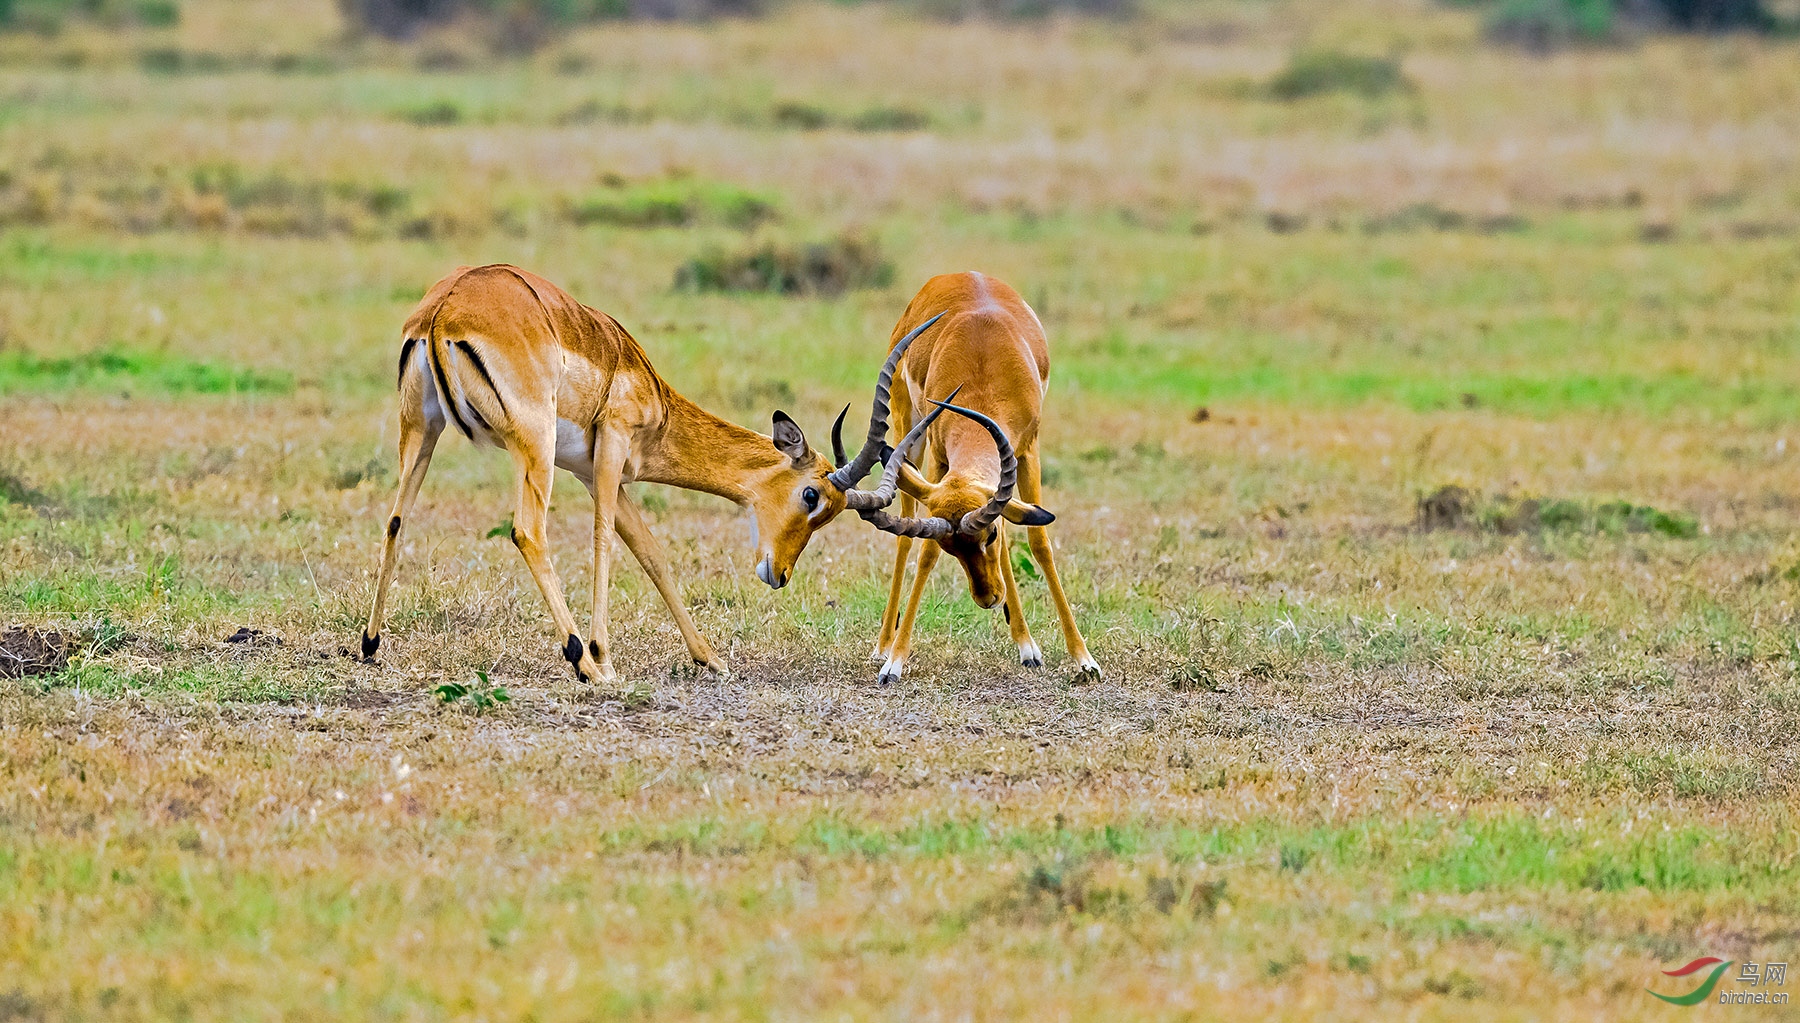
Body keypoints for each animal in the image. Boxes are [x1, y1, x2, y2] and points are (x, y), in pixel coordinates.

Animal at [358, 262, 964, 684]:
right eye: (811, 496)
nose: (780, 574)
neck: (650, 392)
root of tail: (446, 308)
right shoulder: (608, 451)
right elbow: (605, 541)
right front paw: (605, 658)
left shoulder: (592, 471)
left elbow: (651, 552)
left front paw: (711, 659)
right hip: (531, 443)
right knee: (528, 531)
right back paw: (584, 664)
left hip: (422, 429)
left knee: (394, 520)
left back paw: (368, 646)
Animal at [842, 271, 1094, 688]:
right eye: (950, 547)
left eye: (986, 536)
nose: (988, 598)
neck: (984, 366)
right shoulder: (939, 457)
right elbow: (923, 552)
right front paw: (894, 663)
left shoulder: (1028, 451)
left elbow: (1038, 542)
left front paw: (1084, 659)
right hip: (908, 428)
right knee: (904, 537)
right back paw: (883, 645)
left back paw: (1027, 647)